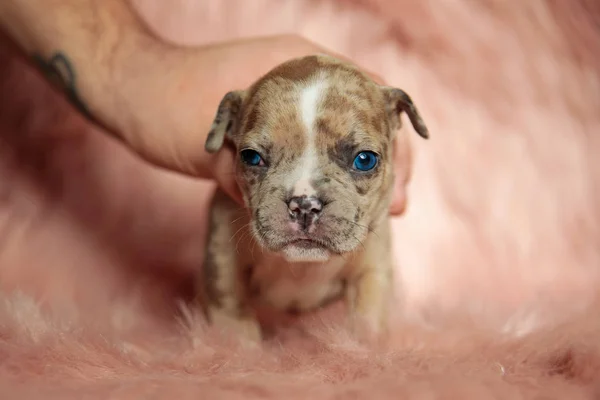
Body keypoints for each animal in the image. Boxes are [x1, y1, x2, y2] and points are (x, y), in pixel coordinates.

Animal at [199, 52, 428, 340]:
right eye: (251, 157)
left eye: (365, 160)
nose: (304, 205)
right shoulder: (223, 252)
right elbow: (229, 302)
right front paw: (239, 342)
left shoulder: (372, 266)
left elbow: (367, 317)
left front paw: (363, 345)